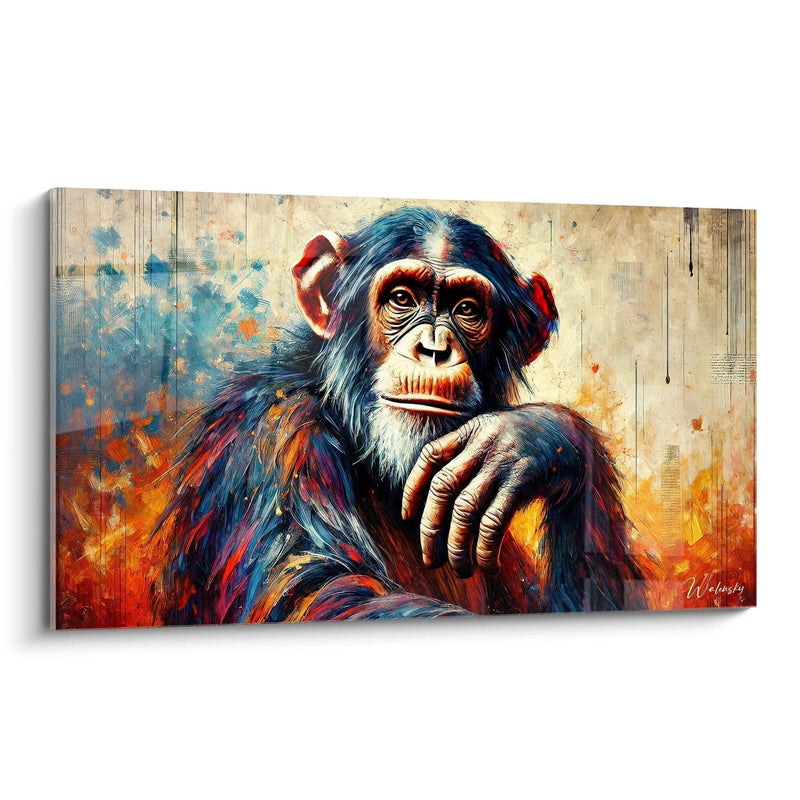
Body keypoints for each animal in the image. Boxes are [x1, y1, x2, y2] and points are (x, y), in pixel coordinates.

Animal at [152, 206, 644, 623]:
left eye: (466, 309)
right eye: (402, 299)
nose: (434, 349)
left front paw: (535, 439)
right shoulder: (273, 439)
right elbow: (314, 591)